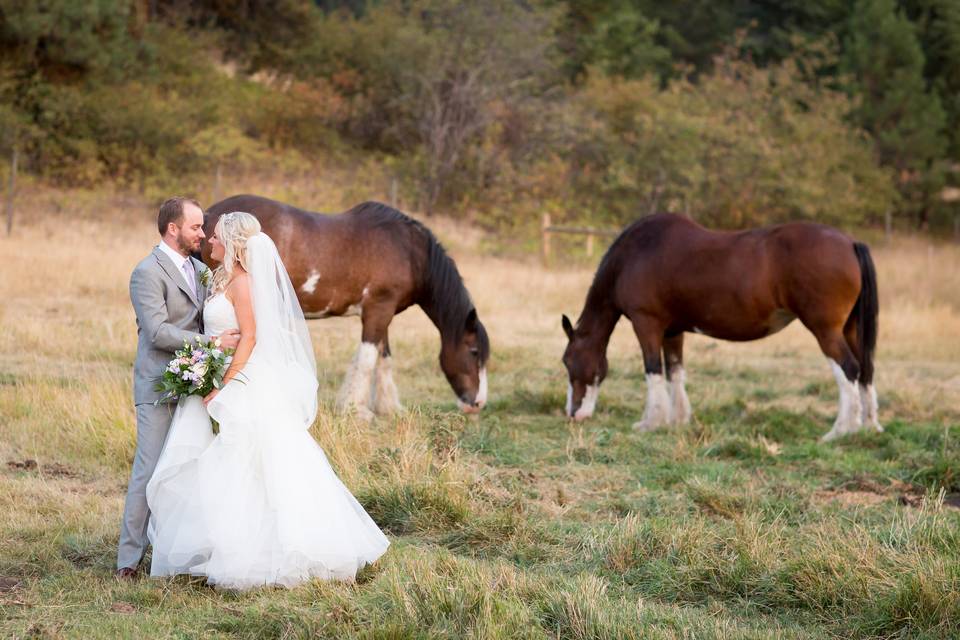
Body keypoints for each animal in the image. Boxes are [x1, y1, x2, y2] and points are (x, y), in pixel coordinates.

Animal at [201, 194, 488, 420]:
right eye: (474, 351)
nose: (478, 403)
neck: (409, 250)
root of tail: (208, 214)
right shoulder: (378, 310)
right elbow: (367, 360)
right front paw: (357, 410)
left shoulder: (382, 313)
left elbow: (383, 359)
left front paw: (388, 408)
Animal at [564, 212, 884, 442]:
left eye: (567, 362)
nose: (573, 414)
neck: (636, 253)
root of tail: (849, 243)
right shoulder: (672, 331)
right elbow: (675, 372)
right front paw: (677, 420)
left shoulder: (648, 324)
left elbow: (653, 371)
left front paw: (650, 422)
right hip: (850, 329)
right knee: (866, 370)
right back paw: (869, 426)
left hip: (826, 330)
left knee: (849, 369)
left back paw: (841, 430)